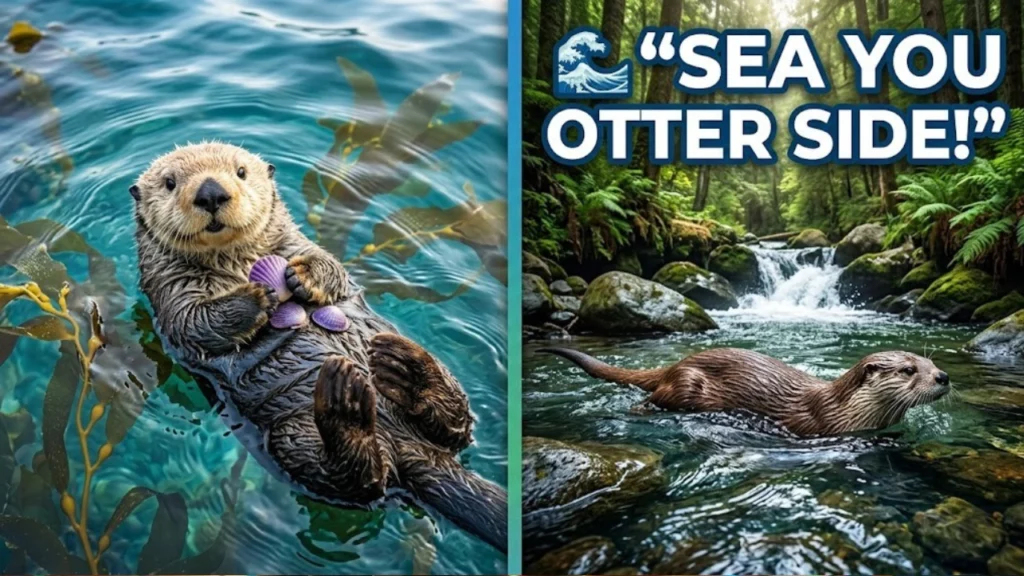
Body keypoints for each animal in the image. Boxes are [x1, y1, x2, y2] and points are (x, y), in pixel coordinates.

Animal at [131, 142, 506, 551]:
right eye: (170, 183)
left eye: (241, 171)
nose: (211, 192)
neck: (235, 261)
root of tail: (412, 446)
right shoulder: (170, 292)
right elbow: (195, 321)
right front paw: (256, 297)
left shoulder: (296, 243)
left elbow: (331, 267)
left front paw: (304, 275)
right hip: (294, 435)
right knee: (361, 477)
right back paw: (346, 405)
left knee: (457, 423)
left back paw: (405, 367)